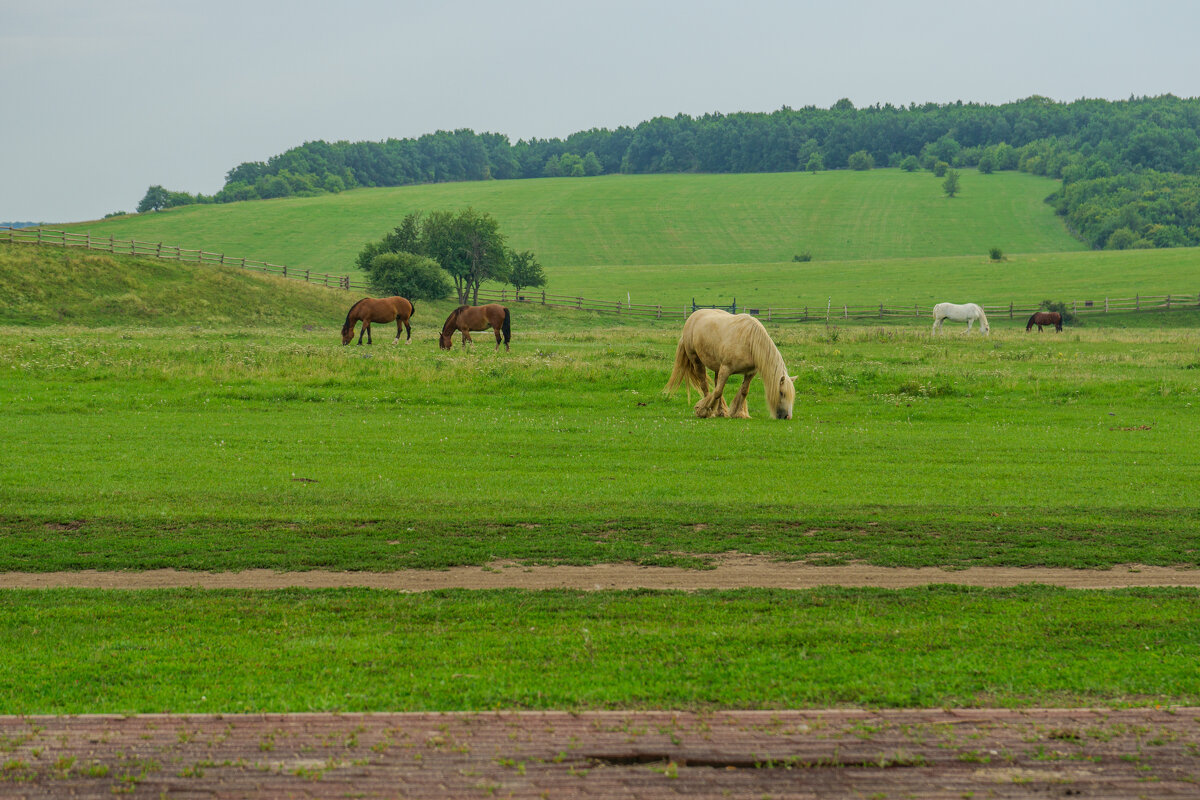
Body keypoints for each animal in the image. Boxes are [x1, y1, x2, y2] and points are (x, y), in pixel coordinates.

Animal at [667, 309, 796, 422]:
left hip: (717, 367)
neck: (750, 341)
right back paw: (710, 410)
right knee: (705, 385)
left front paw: (738, 413)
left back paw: (721, 411)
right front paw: (703, 411)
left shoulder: (750, 373)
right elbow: (718, 392)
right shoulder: (726, 369)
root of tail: (693, 316)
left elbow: (743, 391)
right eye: (782, 393)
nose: (787, 417)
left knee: (715, 383)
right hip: (696, 361)